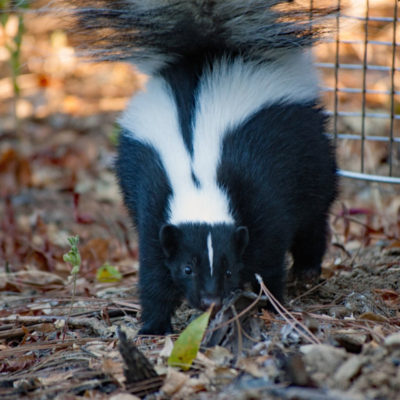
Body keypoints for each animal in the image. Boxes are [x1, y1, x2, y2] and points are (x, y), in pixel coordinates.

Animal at [65, 0, 338, 332]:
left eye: (229, 269)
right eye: (187, 268)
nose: (210, 300)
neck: (199, 177)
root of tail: (209, 52)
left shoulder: (258, 189)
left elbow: (268, 252)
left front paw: (269, 302)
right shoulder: (154, 196)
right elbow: (153, 265)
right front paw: (155, 325)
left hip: (310, 149)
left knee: (315, 213)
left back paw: (307, 269)